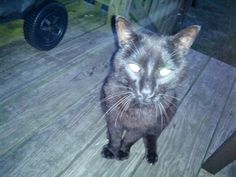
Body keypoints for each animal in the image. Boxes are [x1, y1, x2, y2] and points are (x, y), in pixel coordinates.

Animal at [100, 15, 200, 164]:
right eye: (134, 67)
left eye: (164, 71)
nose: (146, 92)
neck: (137, 108)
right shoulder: (114, 117)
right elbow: (115, 136)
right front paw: (111, 150)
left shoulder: (143, 126)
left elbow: (130, 139)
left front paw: (123, 151)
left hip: (166, 115)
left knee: (152, 136)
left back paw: (152, 155)